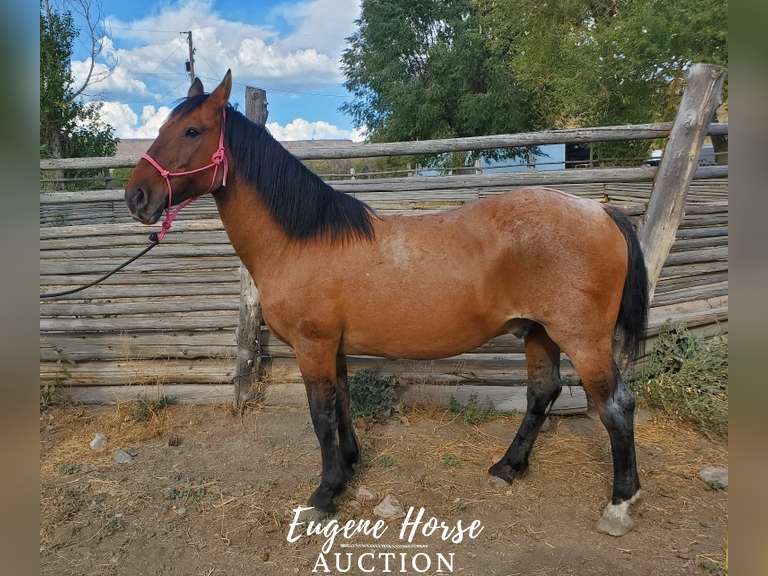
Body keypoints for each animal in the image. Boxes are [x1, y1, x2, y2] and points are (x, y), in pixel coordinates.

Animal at [125, 71, 648, 537]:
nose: (136, 196)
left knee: (617, 405)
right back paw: (507, 467)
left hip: (582, 339)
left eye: (192, 130)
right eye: (163, 126)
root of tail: (600, 211)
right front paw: (349, 468)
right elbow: (342, 403)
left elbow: (321, 415)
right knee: (543, 392)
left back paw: (620, 506)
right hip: (538, 331)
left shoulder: (312, 346)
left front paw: (323, 496)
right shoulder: (332, 347)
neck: (301, 241)